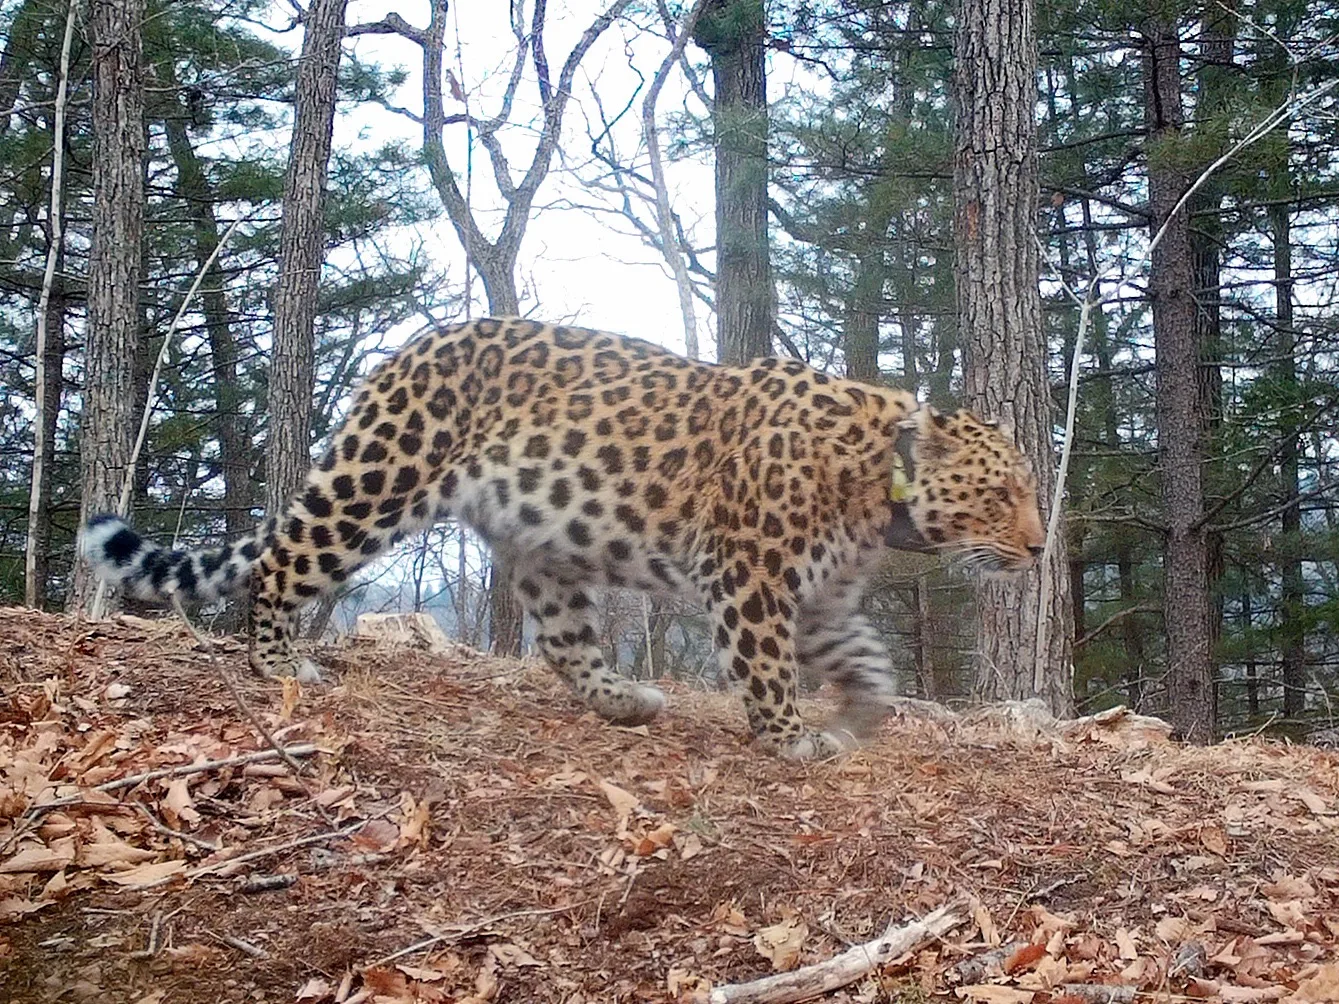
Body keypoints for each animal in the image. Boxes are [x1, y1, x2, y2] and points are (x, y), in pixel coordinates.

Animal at [82, 317, 1046, 760]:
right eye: (1003, 492)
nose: (1040, 549)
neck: (878, 487)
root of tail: (403, 352)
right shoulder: (749, 577)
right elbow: (766, 670)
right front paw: (787, 739)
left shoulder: (816, 599)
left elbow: (867, 656)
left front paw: (862, 714)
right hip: (381, 481)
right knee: (282, 563)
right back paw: (282, 664)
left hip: (541, 543)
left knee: (562, 640)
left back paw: (625, 700)